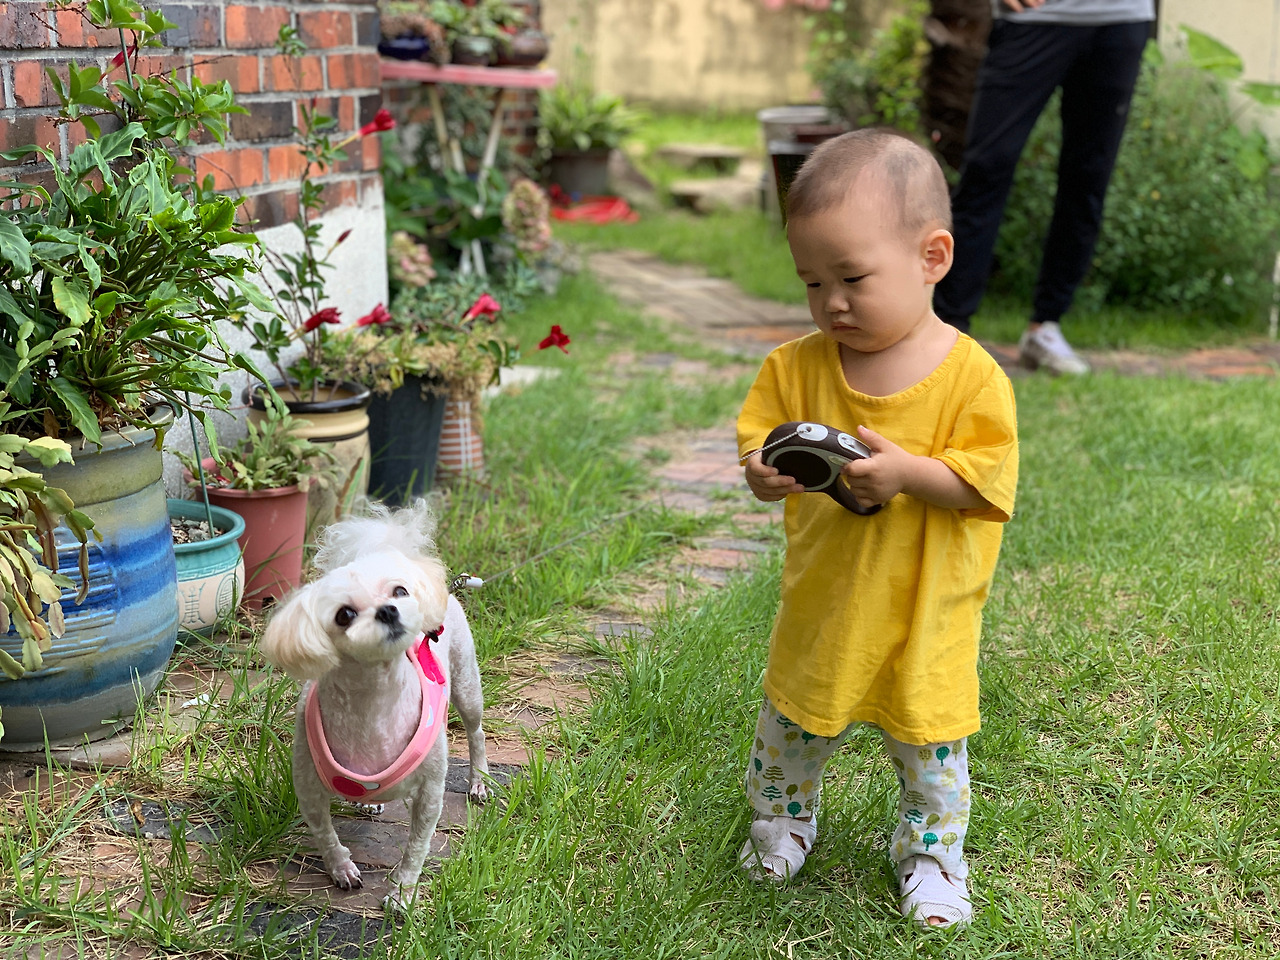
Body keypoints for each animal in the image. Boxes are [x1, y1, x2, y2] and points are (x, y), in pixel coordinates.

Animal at [260, 500, 489, 910]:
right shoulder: (308, 787)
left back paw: (478, 780)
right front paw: (341, 869)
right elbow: (325, 834)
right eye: (344, 614)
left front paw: (402, 892)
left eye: (399, 591)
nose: (388, 610)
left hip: (466, 686)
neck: (374, 701)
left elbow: (417, 845)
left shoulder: (431, 791)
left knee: (476, 732)